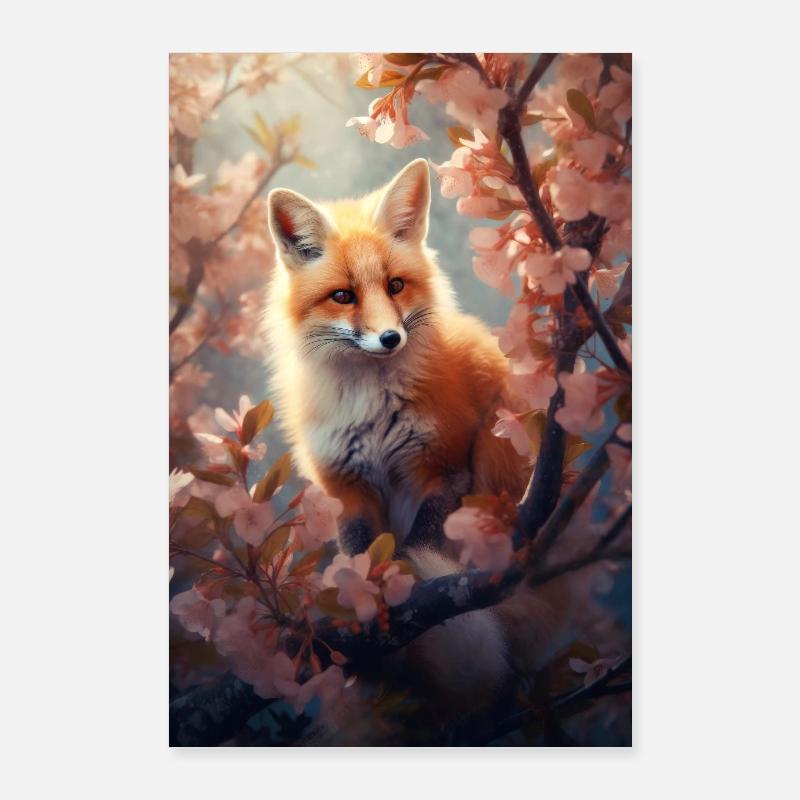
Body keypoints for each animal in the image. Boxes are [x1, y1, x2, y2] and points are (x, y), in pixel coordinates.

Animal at [262, 159, 566, 726]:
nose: (390, 339)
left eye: (396, 285)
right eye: (344, 295)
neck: (369, 406)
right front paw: (362, 610)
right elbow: (360, 557)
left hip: (498, 454)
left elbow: (418, 550)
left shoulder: (442, 467)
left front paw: (404, 594)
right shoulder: (347, 489)